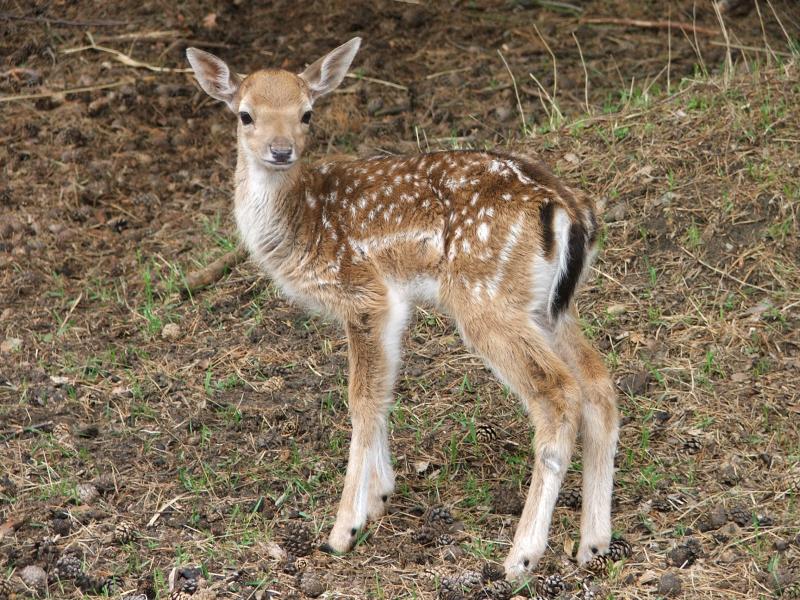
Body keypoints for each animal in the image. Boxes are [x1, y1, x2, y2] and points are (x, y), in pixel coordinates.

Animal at [186, 37, 620, 580]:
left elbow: (362, 399)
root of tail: (568, 209)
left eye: (307, 113)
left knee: (558, 392)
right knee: (599, 383)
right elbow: (384, 389)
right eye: (245, 115)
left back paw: (521, 555)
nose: (281, 150)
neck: (300, 222)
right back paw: (593, 543)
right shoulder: (391, 305)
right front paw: (380, 497)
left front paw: (344, 530)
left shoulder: (363, 292)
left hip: (484, 295)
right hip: (551, 306)